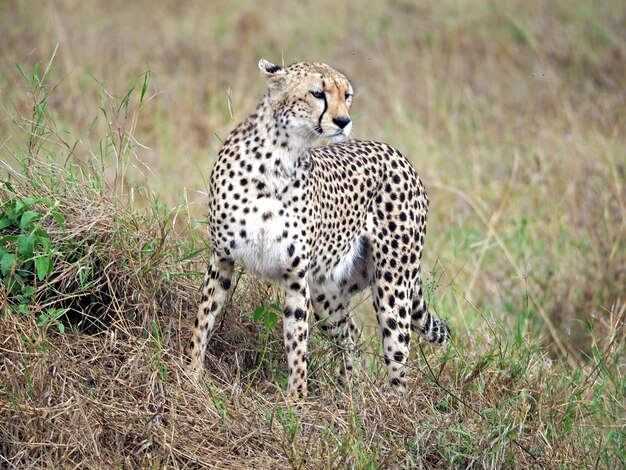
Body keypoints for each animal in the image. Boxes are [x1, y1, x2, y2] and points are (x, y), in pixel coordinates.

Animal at [185, 57, 448, 398]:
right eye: (317, 93)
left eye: (347, 95)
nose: (343, 120)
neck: (277, 157)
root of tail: (395, 152)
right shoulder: (222, 257)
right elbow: (204, 317)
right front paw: (190, 376)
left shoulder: (295, 274)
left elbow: (297, 340)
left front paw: (296, 399)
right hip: (327, 292)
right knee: (351, 335)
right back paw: (349, 391)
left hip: (393, 282)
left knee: (398, 348)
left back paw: (392, 403)